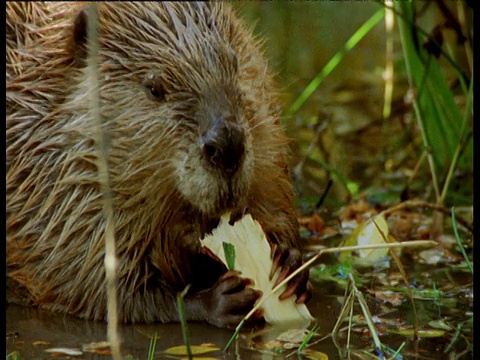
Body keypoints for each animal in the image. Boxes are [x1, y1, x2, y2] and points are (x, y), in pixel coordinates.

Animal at [5, 2, 312, 330]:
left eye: (234, 62)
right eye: (154, 88)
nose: (227, 145)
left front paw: (290, 263)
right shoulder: (57, 193)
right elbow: (94, 284)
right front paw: (221, 299)